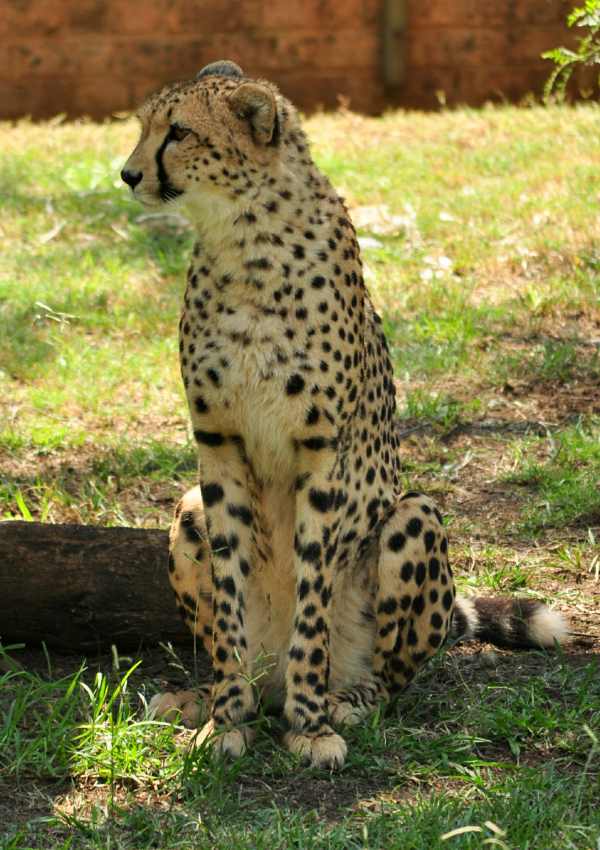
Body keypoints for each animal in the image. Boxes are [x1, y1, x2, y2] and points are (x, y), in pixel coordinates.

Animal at [122, 56, 568, 764]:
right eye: (144, 127)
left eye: (180, 132)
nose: (129, 174)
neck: (240, 237)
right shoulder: (217, 441)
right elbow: (230, 603)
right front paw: (224, 720)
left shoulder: (321, 449)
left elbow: (311, 601)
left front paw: (309, 726)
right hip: (186, 510)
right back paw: (211, 694)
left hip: (414, 516)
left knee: (392, 675)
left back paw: (345, 698)